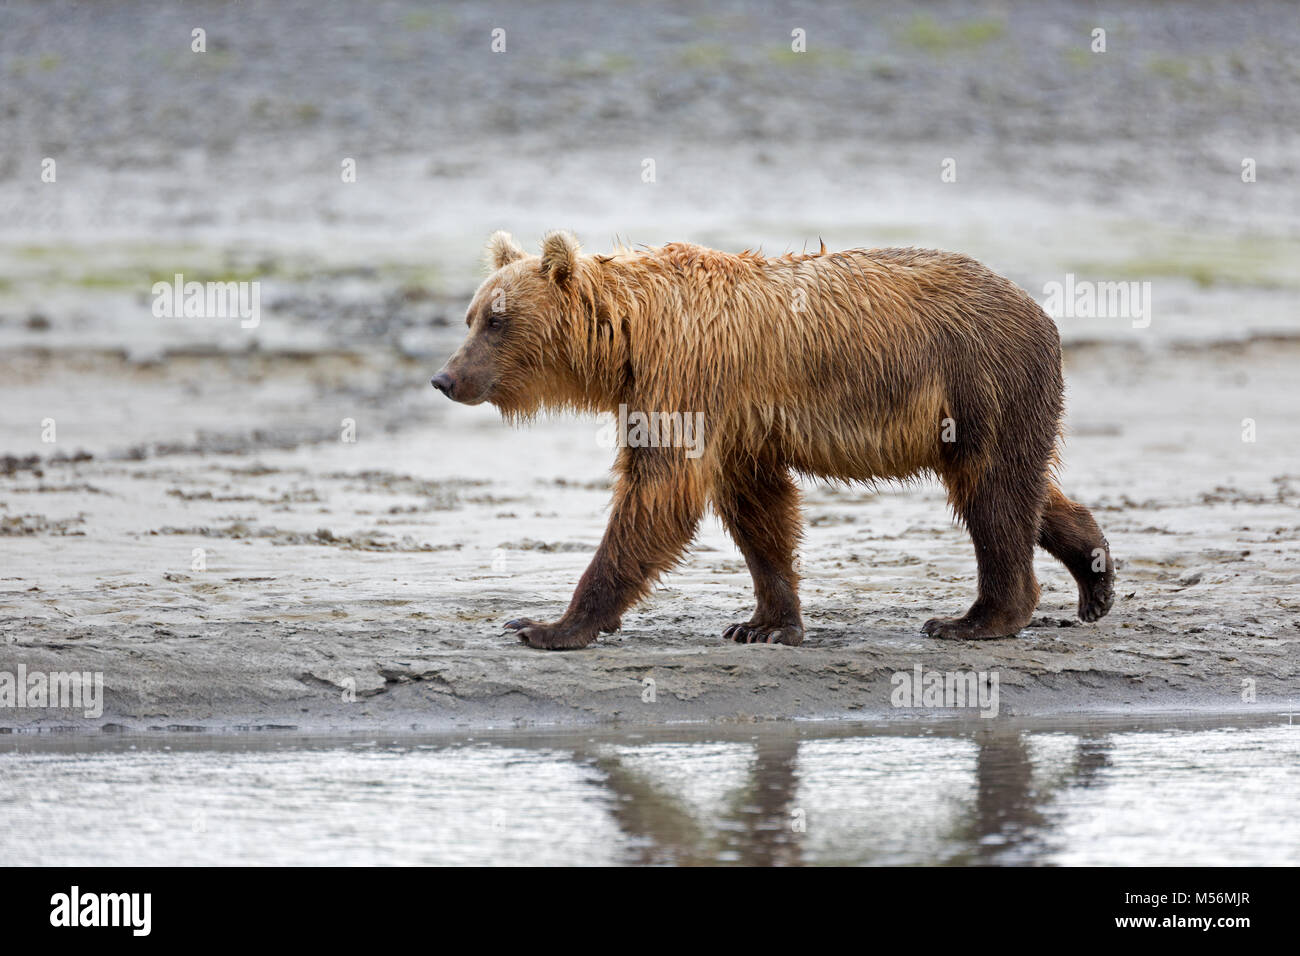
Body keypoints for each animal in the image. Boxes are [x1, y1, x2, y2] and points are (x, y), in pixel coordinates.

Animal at [431, 231, 1112, 650]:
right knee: (1022, 489)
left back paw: (974, 619)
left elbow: (659, 495)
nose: (445, 377)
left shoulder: (688, 380)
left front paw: (550, 625)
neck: (629, 340)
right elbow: (757, 508)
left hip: (978, 378)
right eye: (470, 316)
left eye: (496, 319)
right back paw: (1094, 576)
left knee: (993, 492)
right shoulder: (734, 418)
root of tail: (1041, 312)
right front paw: (764, 623)